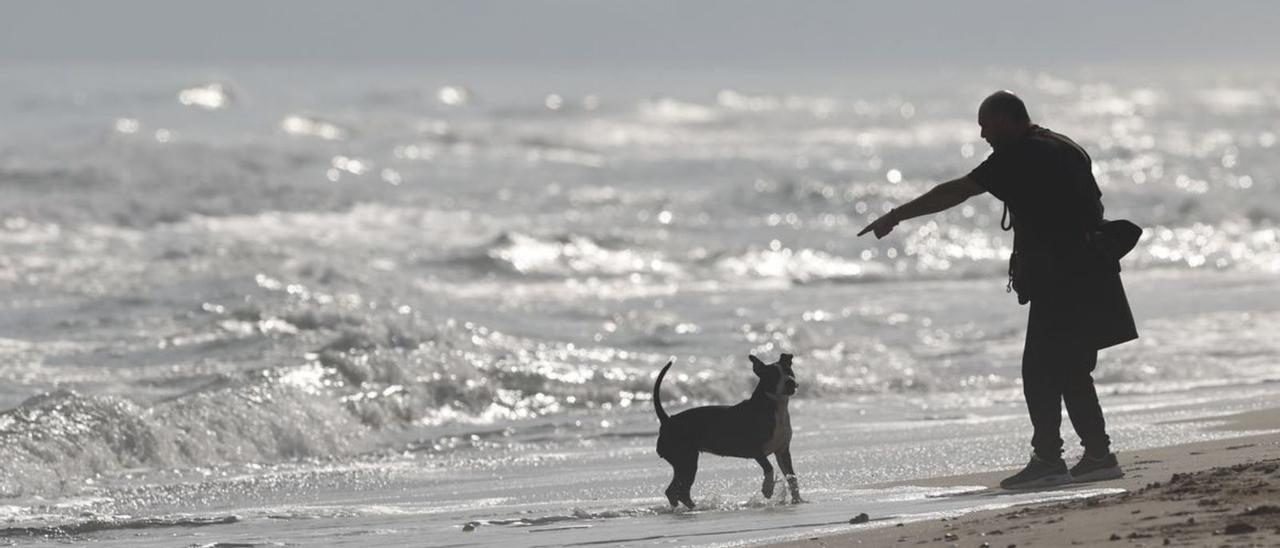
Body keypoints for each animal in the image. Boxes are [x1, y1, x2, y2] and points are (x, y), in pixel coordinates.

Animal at [650, 353, 798, 507]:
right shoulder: (755, 449)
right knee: (675, 491)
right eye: (773, 375)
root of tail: (667, 420)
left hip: (685, 461)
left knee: (679, 491)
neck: (773, 405)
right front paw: (768, 489)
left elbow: (792, 477)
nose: (790, 382)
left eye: (789, 371)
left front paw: (797, 500)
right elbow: (769, 467)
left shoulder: (783, 452)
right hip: (686, 460)